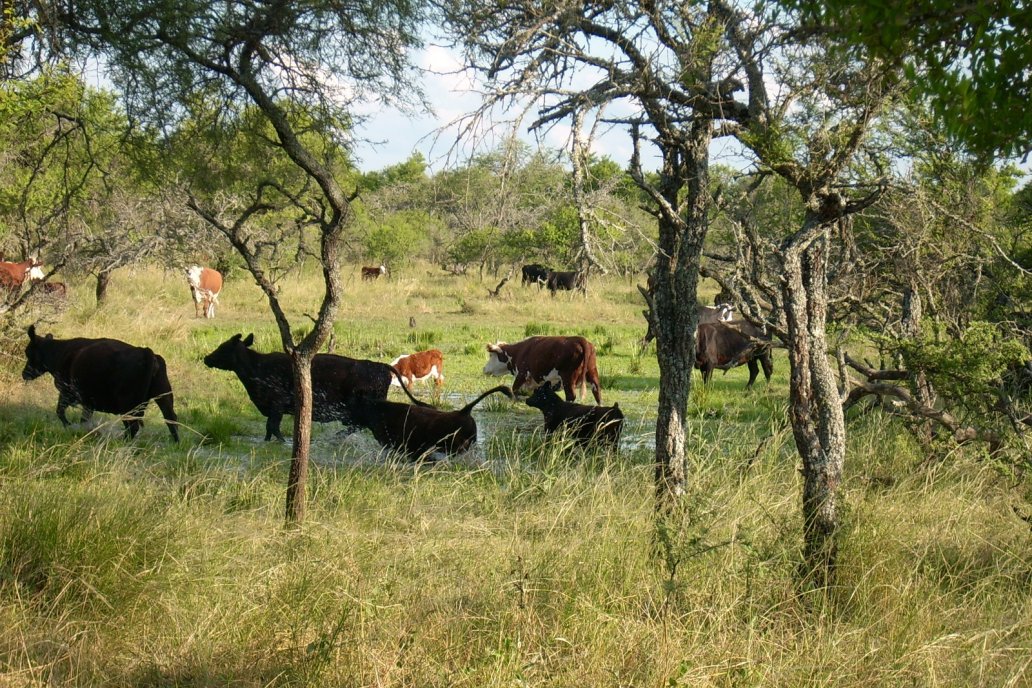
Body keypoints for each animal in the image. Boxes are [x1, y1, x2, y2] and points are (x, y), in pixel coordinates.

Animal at [22, 323, 179, 441]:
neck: (60, 352)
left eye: (28, 352)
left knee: (133, 426)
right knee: (171, 420)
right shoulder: (88, 402)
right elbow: (82, 419)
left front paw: (69, 426)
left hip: (128, 405)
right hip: (164, 397)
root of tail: (146, 352)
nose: (24, 374)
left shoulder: (67, 393)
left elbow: (60, 412)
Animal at [203, 334, 392, 441]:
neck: (257, 367)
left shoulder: (277, 405)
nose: (206, 358)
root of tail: (380, 366)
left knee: (360, 425)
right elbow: (269, 428)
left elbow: (273, 426)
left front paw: (282, 442)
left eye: (223, 348)